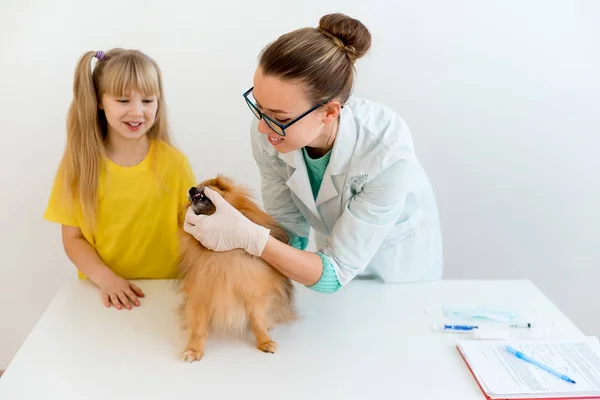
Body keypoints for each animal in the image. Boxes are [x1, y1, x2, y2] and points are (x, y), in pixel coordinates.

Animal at [178, 175, 298, 362]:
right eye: (191, 194)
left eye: (207, 186)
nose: (191, 190)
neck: (223, 253)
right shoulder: (201, 295)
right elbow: (198, 327)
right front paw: (193, 349)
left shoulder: (253, 292)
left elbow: (257, 321)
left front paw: (265, 341)